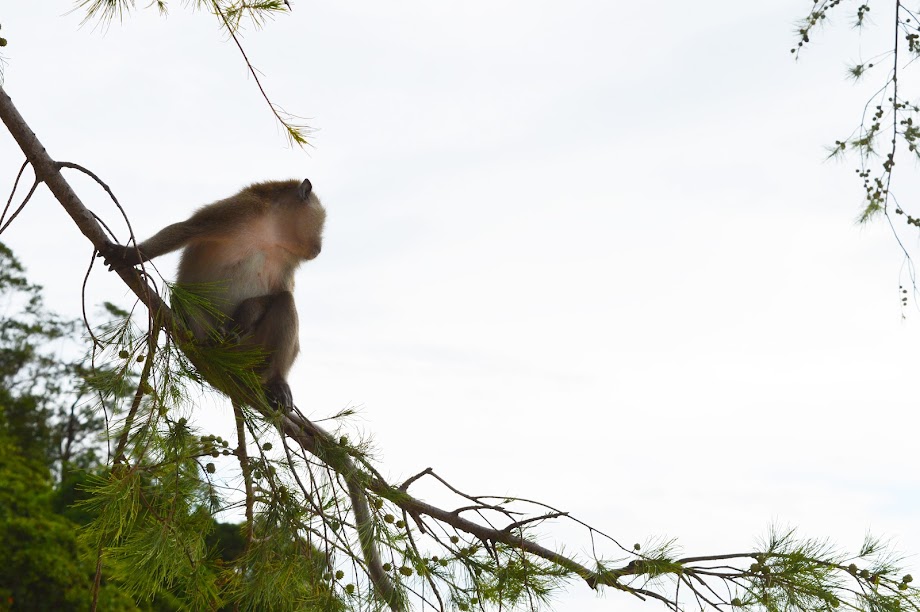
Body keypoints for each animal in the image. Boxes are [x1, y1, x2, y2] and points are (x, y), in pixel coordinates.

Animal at [99, 179, 324, 408]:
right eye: (321, 225)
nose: (319, 248)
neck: (270, 236)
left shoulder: (288, 259)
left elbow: (280, 292)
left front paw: (245, 313)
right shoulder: (237, 211)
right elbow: (186, 230)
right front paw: (131, 255)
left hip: (253, 353)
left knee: (284, 301)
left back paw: (275, 380)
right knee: (183, 299)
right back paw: (212, 346)